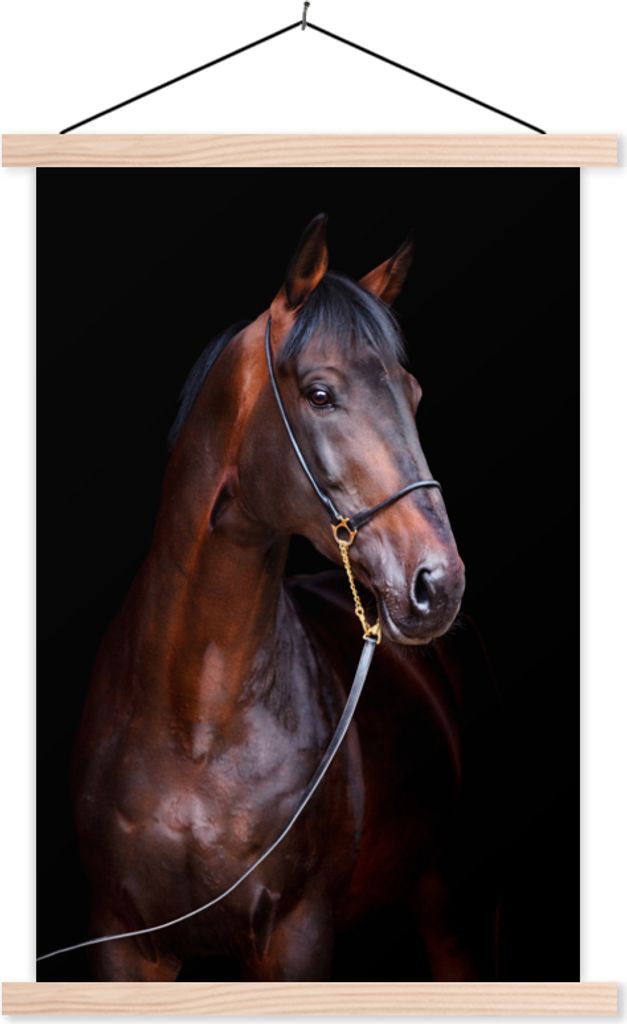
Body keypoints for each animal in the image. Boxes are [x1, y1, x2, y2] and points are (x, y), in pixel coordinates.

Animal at [73, 213, 493, 981]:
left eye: (412, 393)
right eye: (320, 394)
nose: (438, 583)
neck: (196, 724)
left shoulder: (297, 935)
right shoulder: (121, 940)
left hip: (457, 903)